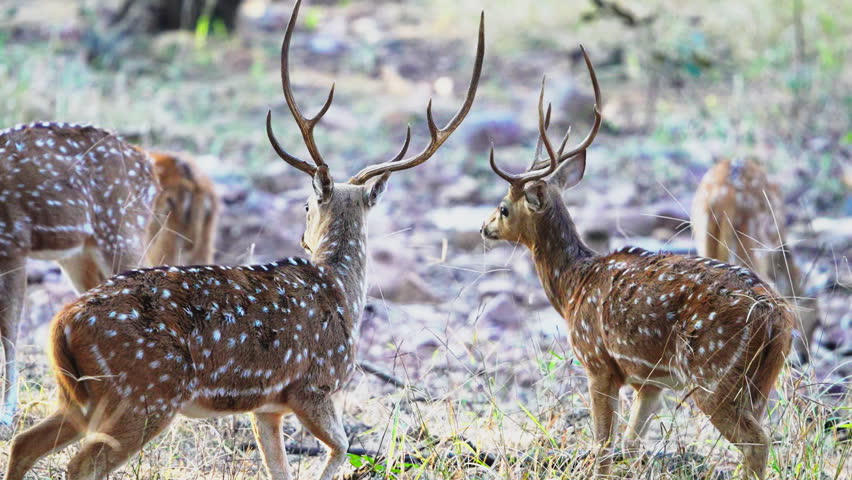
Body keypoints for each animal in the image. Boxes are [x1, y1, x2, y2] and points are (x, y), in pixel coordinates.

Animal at [0, 124, 221, 425]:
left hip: (123, 230)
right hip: (83, 251)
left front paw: (7, 413)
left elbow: (9, 327)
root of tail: (149, 169)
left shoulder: (13, 240)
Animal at [480, 48, 792, 479]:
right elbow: (630, 445)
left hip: (713, 374)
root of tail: (776, 316)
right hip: (760, 382)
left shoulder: (598, 361)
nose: (484, 228)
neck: (573, 287)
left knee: (756, 442)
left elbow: (603, 447)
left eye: (504, 208)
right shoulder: (650, 381)